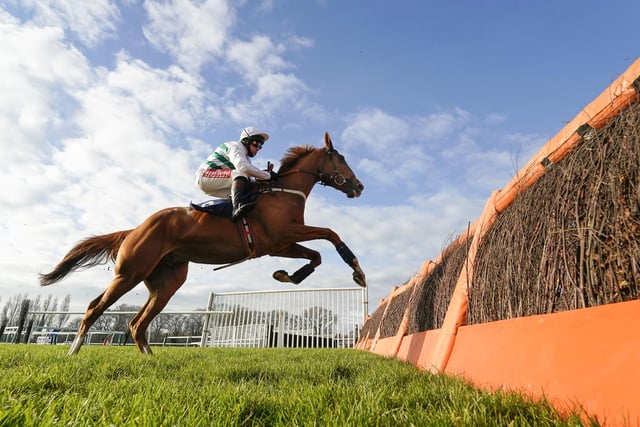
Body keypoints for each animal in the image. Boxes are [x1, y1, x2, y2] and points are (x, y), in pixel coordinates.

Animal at [41, 133, 364, 354]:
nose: (359, 186)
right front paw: (357, 271)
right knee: (95, 307)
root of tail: (135, 229)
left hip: (165, 283)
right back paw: (73, 351)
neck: (282, 192)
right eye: (341, 158)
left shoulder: (281, 245)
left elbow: (317, 255)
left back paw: (149, 358)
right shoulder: (282, 237)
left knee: (136, 323)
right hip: (129, 272)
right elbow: (331, 234)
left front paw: (287, 275)